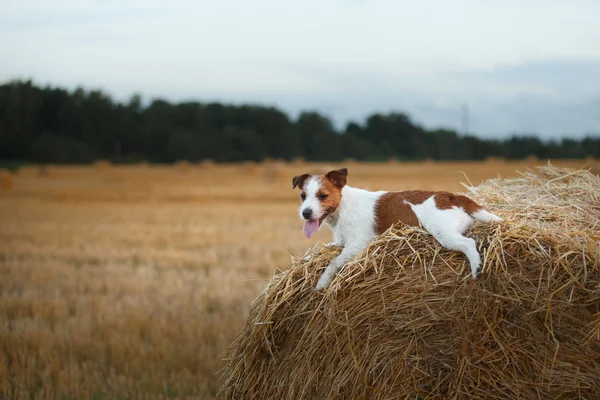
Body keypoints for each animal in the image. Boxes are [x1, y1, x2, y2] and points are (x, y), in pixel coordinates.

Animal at [290, 166, 502, 290]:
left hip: (444, 234)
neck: (343, 206)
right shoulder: (340, 242)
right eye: (303, 196)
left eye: (323, 196)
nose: (305, 213)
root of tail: (452, 197)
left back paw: (476, 267)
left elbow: (334, 263)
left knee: (469, 243)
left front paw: (322, 282)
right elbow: (316, 254)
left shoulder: (356, 246)